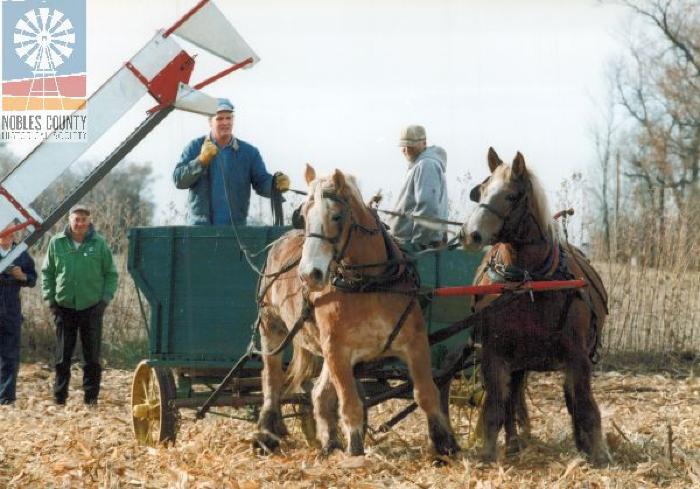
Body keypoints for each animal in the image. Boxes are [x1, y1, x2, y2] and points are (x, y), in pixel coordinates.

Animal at [253, 164, 460, 458]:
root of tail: (280, 241)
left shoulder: (415, 343)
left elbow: (426, 393)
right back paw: (266, 432)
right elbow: (350, 404)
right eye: (303, 216)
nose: (309, 275)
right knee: (271, 378)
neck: (368, 284)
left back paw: (329, 442)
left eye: (337, 215)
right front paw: (355, 447)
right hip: (272, 328)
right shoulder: (337, 350)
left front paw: (444, 442)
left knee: (318, 394)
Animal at [461, 148, 610, 466]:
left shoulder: (578, 355)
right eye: (482, 190)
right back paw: (513, 444)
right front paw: (488, 454)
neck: (528, 281)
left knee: (568, 399)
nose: (470, 234)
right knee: (510, 401)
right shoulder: (494, 353)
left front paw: (598, 452)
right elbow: (495, 406)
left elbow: (584, 404)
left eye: (512, 195)